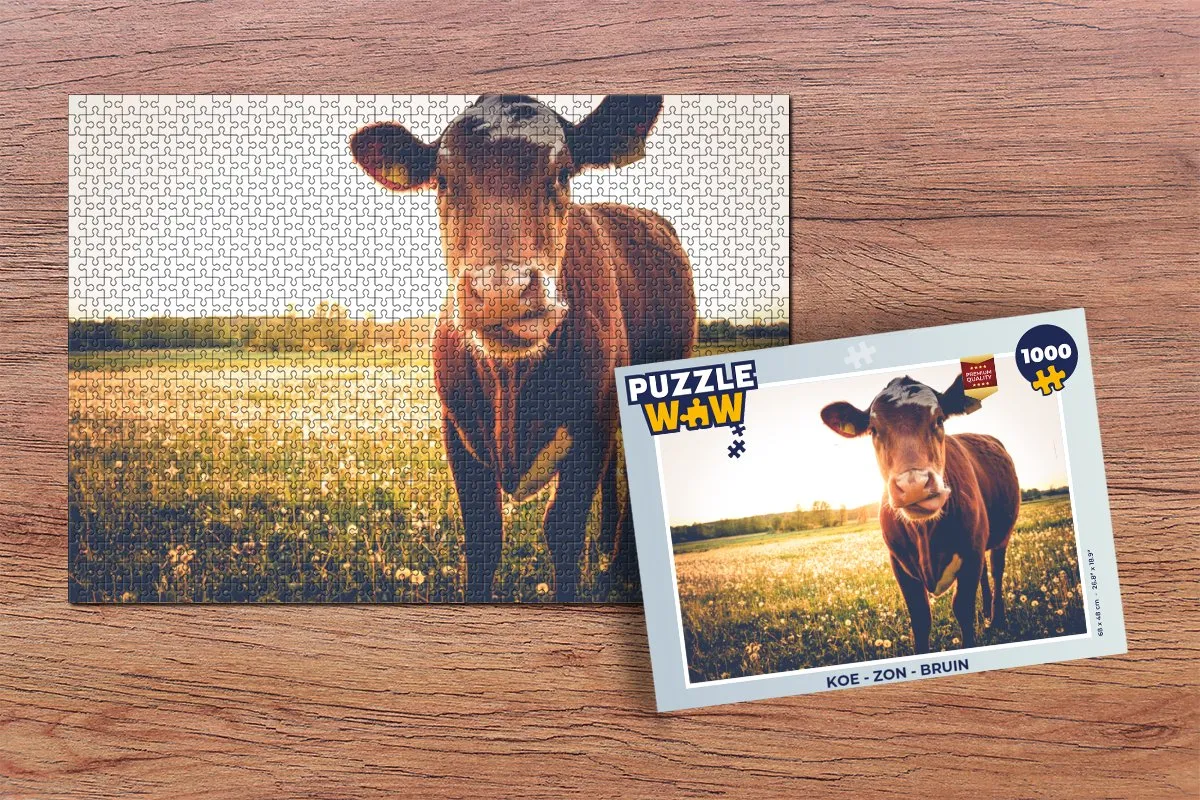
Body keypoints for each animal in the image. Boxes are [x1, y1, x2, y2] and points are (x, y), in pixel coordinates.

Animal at [350, 95, 696, 601]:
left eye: (563, 174)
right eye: (443, 179)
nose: (502, 293)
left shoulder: (591, 425)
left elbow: (563, 530)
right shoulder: (456, 430)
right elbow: (483, 536)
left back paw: (619, 565)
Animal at [820, 375, 1019, 652]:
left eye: (939, 420)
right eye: (873, 430)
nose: (913, 485)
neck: (925, 533)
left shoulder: (971, 553)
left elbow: (963, 610)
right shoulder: (900, 565)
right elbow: (920, 618)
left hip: (1001, 536)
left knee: (997, 570)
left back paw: (997, 618)